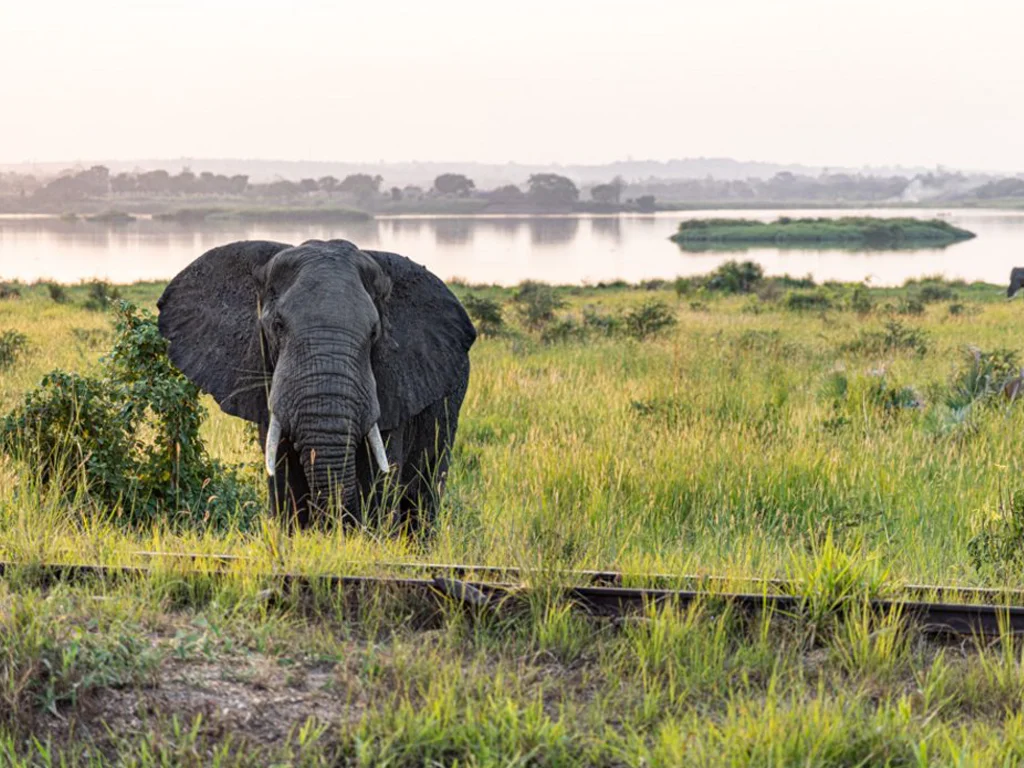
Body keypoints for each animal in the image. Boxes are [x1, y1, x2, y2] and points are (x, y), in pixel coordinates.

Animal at [157, 240, 477, 536]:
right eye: (277, 325)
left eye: (374, 332)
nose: (331, 527)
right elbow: (284, 482)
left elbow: (379, 487)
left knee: (424, 495)